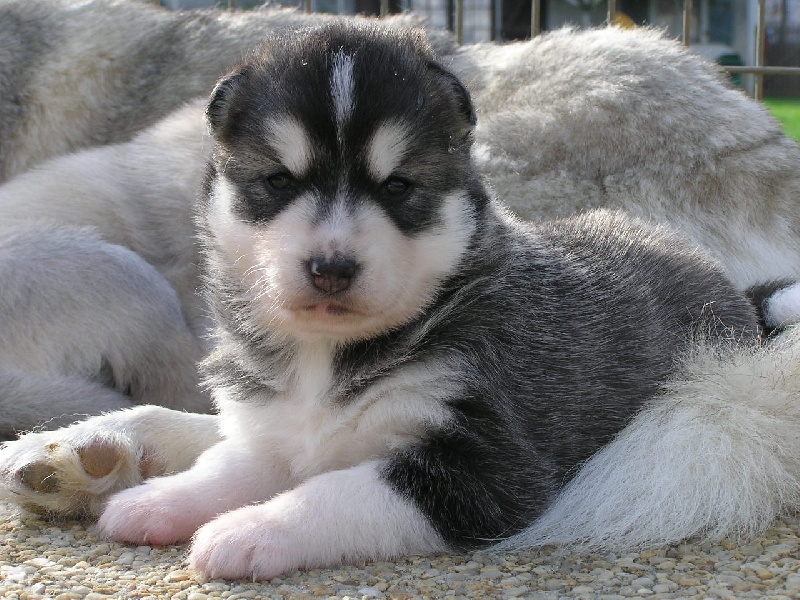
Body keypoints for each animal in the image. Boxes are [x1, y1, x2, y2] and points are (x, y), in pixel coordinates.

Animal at [3, 23, 799, 581]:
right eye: (278, 181)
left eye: (398, 187)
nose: (331, 267)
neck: (326, 359)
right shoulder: (277, 431)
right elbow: (231, 463)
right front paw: (158, 501)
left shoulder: (484, 469)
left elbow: (339, 494)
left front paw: (250, 531)